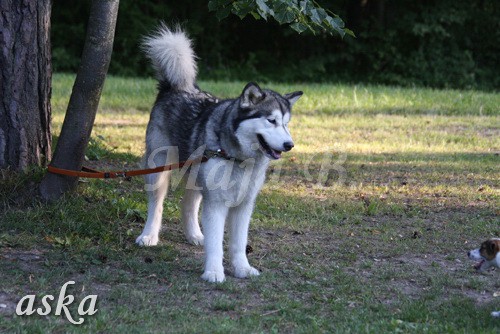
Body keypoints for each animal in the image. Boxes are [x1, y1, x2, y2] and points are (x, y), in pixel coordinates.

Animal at [134, 24, 300, 284]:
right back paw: (149, 235)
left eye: (286, 124)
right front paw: (213, 271)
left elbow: (239, 243)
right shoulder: (217, 204)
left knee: (188, 203)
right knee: (156, 204)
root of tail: (177, 87)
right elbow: (216, 243)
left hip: (197, 174)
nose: (289, 144)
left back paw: (194, 234)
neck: (238, 158)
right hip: (158, 170)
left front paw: (242, 268)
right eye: (271, 120)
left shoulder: (244, 205)